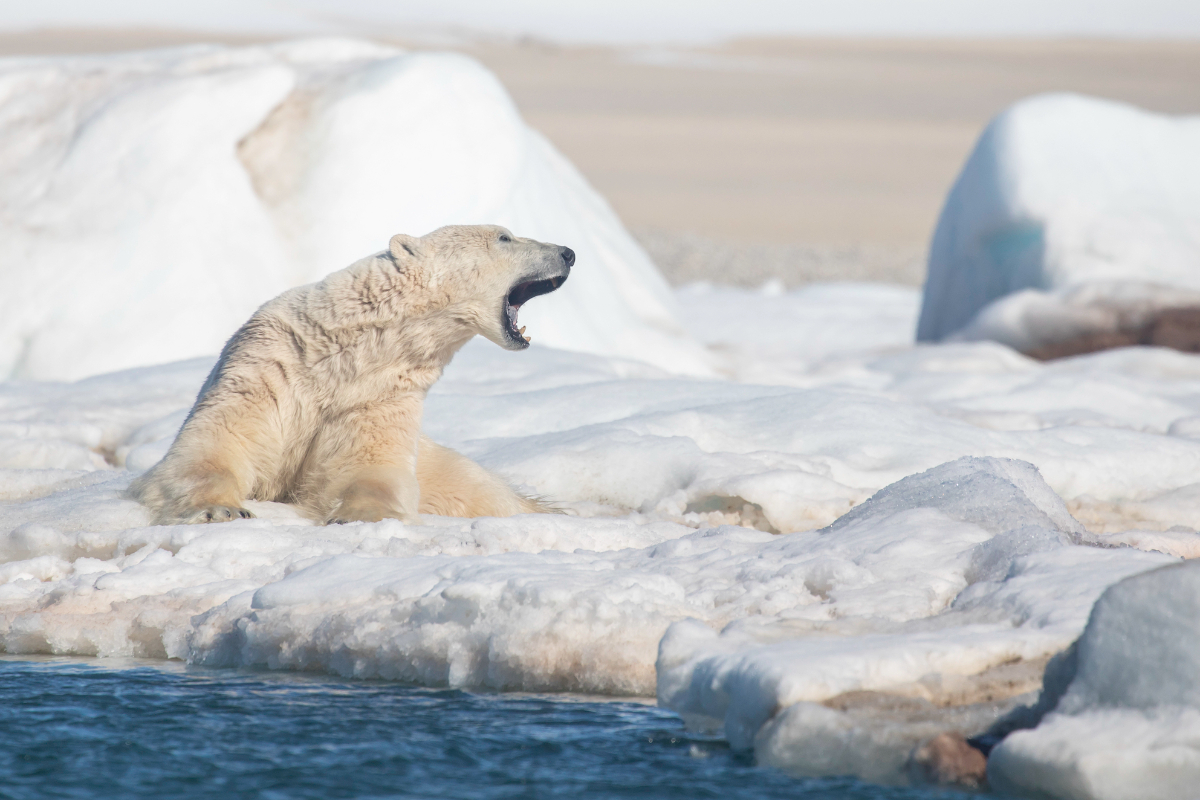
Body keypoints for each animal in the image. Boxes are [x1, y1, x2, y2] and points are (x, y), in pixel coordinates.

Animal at [130, 224, 573, 526]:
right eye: (504, 237)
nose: (568, 252)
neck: (343, 352)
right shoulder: (265, 365)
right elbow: (216, 445)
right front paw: (220, 508)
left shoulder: (378, 395)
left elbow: (369, 466)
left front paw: (362, 515)